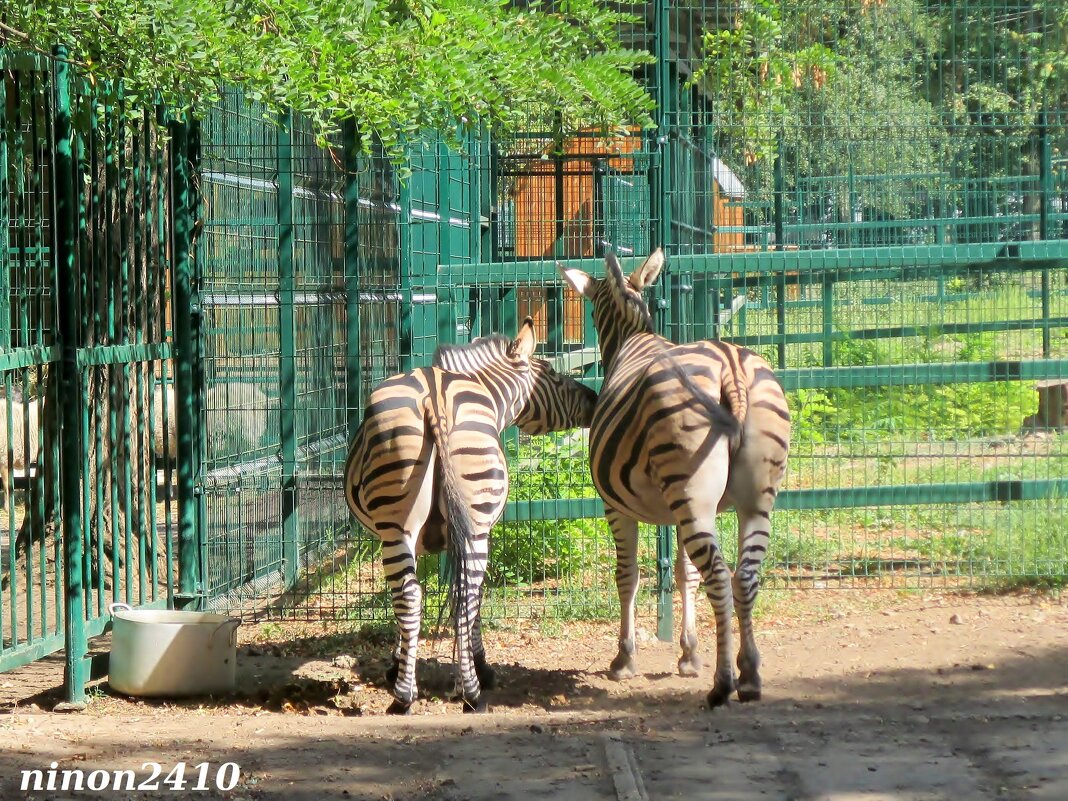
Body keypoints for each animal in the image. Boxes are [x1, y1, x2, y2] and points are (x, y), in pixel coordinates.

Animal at [343, 316, 598, 713]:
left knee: (421, 595)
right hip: (467, 524)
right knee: (458, 593)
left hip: (400, 526)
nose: (595, 399)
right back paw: (468, 692)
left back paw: (414, 695)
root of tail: (433, 396)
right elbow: (455, 597)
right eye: (555, 375)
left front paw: (400, 664)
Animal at [563, 249, 790, 709]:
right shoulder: (680, 511)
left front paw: (624, 659)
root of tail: (731, 366)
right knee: (743, 576)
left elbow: (628, 575)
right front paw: (689, 654)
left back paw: (723, 684)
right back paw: (750, 674)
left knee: (719, 576)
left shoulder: (616, 507)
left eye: (590, 310)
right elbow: (684, 573)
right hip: (748, 500)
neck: (632, 339)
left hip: (693, 496)